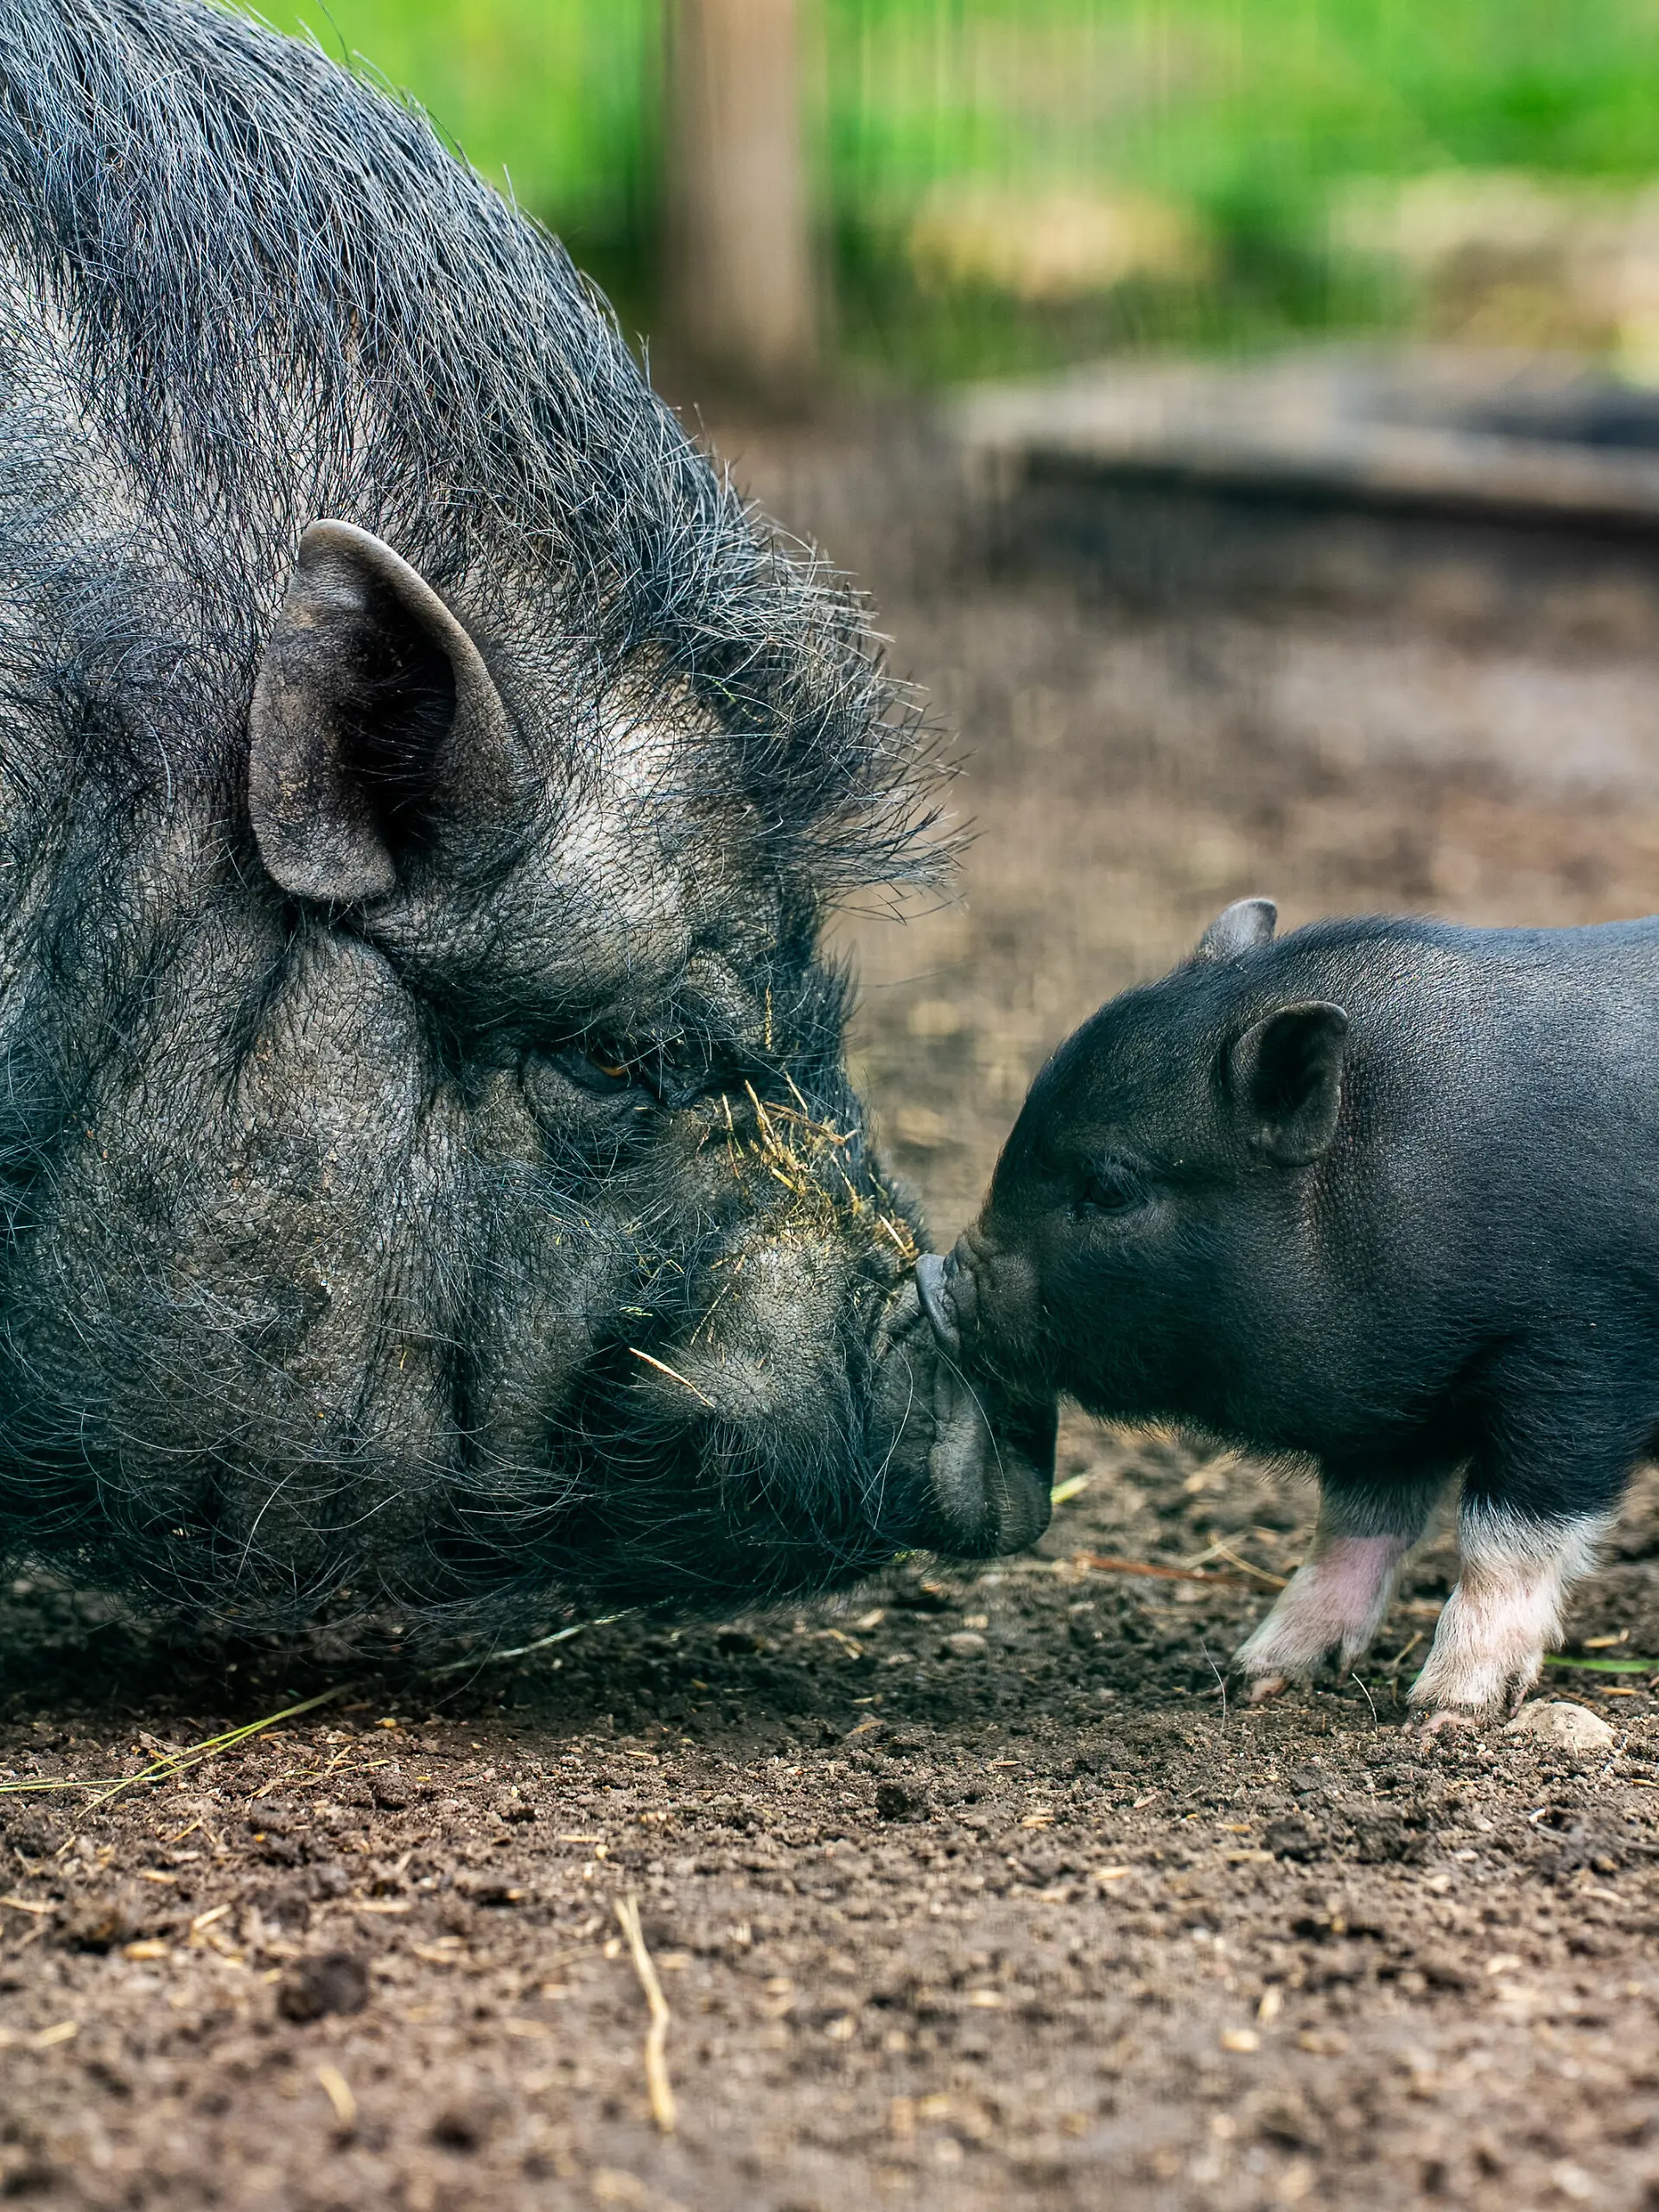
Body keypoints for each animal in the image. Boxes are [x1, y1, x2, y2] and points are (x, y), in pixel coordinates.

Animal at [920, 894, 1659, 1723]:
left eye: (1111, 1187)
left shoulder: (1581, 1364)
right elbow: (1351, 1527)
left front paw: (1443, 1712)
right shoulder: (1396, 1404)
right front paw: (1256, 1678)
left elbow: (1507, 1537)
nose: (934, 1282)